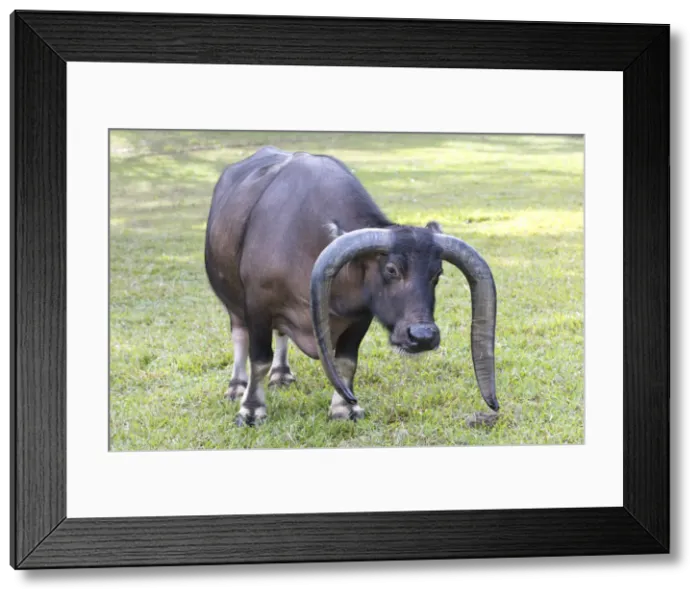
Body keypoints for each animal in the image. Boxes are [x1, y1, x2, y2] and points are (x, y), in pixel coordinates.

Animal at [204, 145, 498, 427]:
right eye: (391, 269)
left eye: (437, 273)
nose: (423, 336)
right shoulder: (258, 306)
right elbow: (259, 360)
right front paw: (252, 410)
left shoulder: (360, 317)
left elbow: (346, 361)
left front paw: (344, 408)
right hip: (233, 304)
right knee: (240, 335)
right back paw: (236, 386)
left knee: (281, 334)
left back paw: (282, 374)